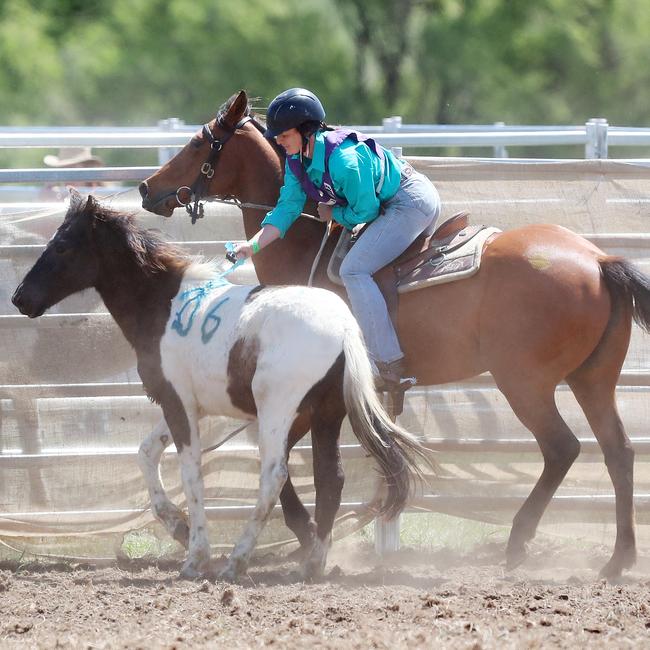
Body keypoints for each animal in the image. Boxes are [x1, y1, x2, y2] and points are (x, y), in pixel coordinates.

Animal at [12, 190, 426, 580]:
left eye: (62, 244)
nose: (19, 298)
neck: (163, 304)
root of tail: (343, 328)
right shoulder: (186, 404)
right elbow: (146, 453)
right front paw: (177, 526)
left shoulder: (178, 402)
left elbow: (191, 472)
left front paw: (196, 556)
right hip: (325, 416)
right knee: (330, 480)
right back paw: (312, 564)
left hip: (278, 412)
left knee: (275, 476)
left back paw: (238, 561)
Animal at [140, 87, 648, 576]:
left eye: (198, 142)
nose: (147, 189)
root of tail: (598, 260)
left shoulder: (310, 400)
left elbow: (283, 466)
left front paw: (304, 534)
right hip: (593, 380)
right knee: (618, 452)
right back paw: (618, 558)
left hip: (526, 383)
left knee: (562, 449)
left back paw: (520, 541)